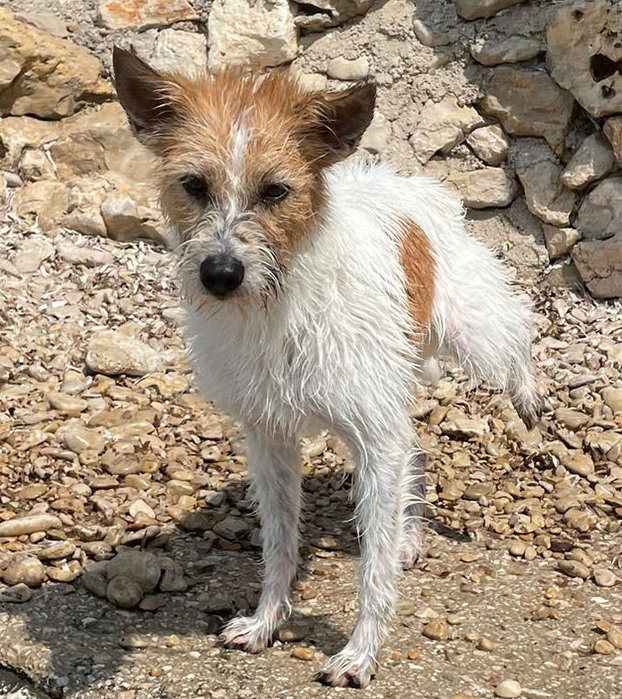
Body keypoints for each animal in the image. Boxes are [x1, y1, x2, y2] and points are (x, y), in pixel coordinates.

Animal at [113, 49, 544, 688]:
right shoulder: (270, 438)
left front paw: (360, 654)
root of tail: (409, 183)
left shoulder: (373, 436)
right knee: (417, 451)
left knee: (516, 337)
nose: (220, 274)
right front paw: (266, 621)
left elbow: (371, 570)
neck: (278, 302)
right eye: (193, 186)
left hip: (471, 332)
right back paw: (409, 536)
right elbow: (279, 543)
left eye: (275, 191)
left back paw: (529, 396)